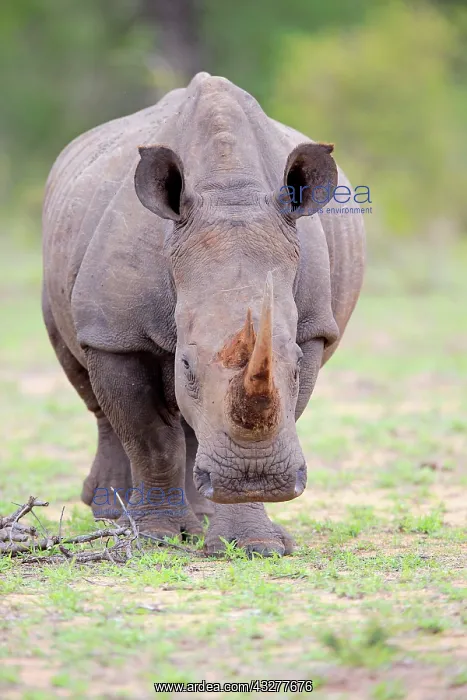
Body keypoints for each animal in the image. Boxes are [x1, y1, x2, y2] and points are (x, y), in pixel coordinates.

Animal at [42, 72, 365, 556]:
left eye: (293, 367)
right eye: (187, 364)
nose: (257, 479)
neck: (229, 194)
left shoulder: (310, 329)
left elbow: (273, 412)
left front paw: (254, 543)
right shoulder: (117, 333)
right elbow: (149, 438)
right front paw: (155, 538)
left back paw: (201, 515)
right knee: (90, 390)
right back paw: (114, 514)